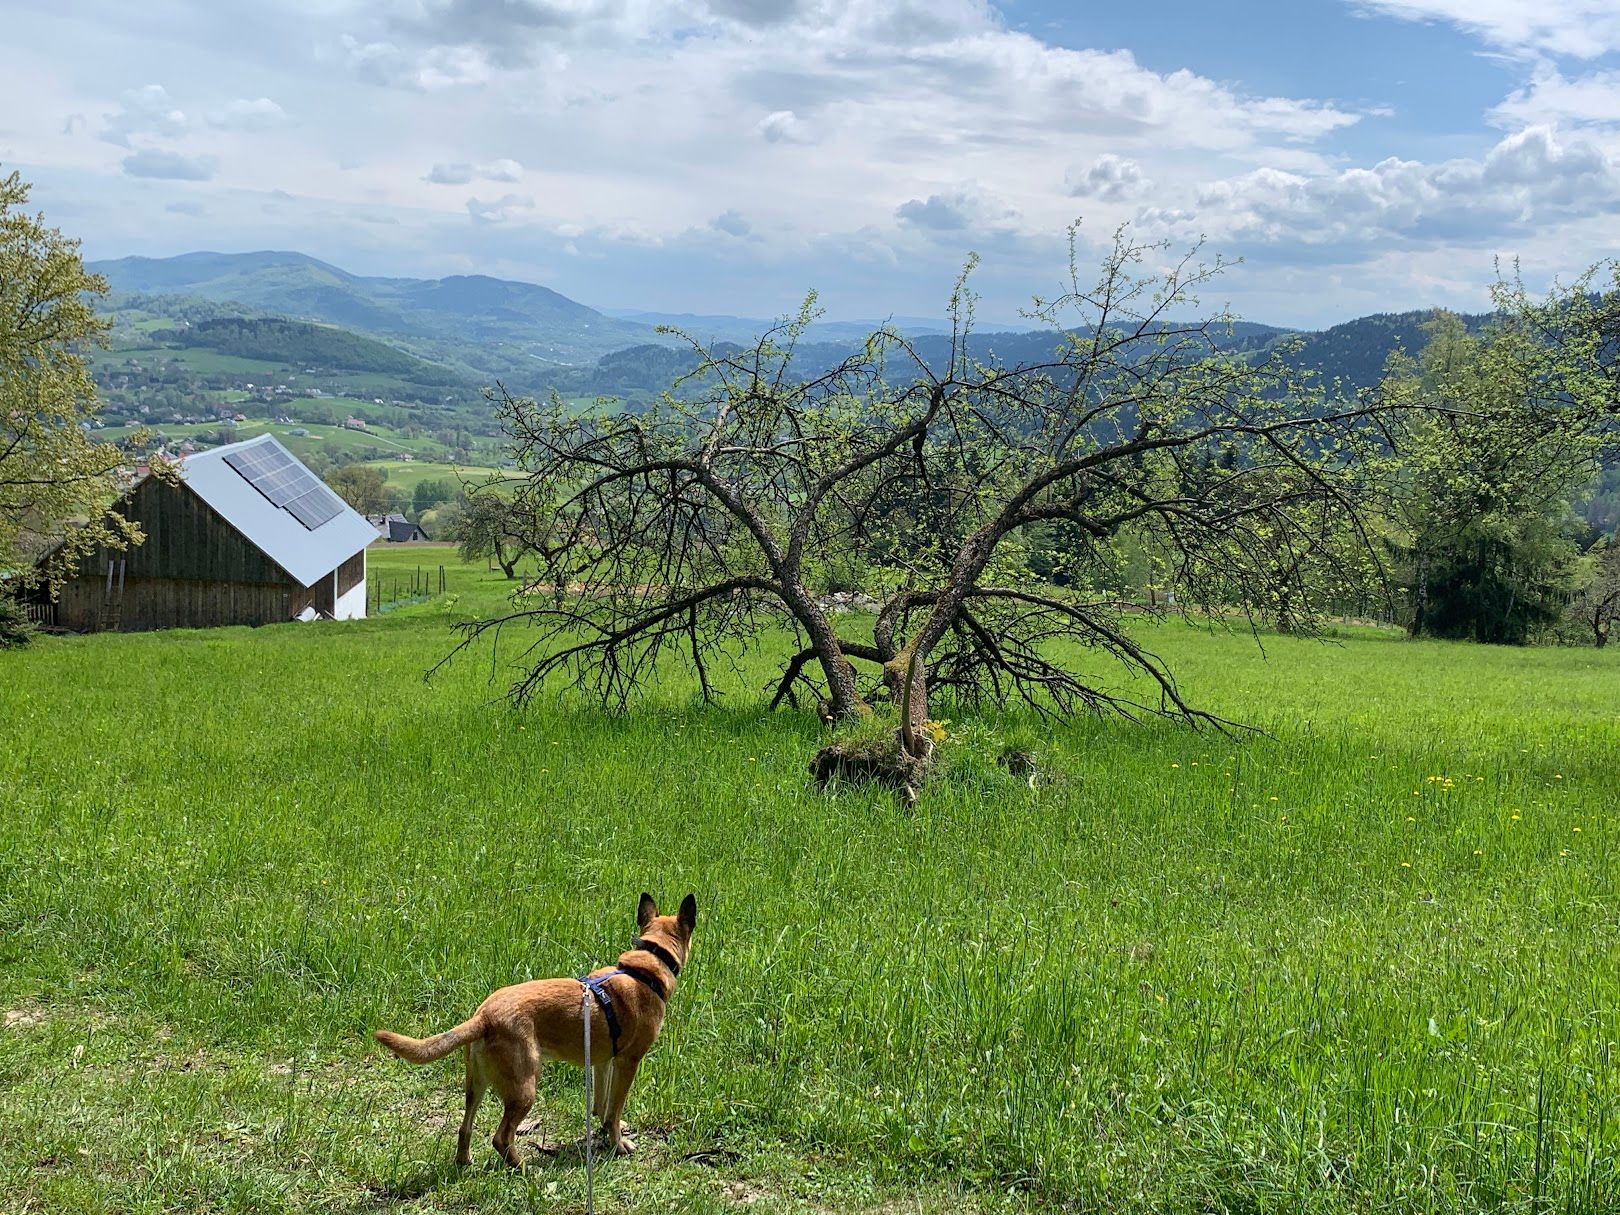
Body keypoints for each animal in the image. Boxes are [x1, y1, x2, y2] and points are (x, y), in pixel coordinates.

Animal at [375, 894, 699, 1172]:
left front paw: (602, 1131)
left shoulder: (603, 1062)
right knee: (501, 1137)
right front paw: (618, 1144)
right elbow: (614, 1110)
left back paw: (465, 1161)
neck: (646, 968)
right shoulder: (628, 1062)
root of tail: (483, 1017)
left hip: (476, 1085)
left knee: (464, 1126)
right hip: (525, 1088)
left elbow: (602, 1106)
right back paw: (523, 1169)